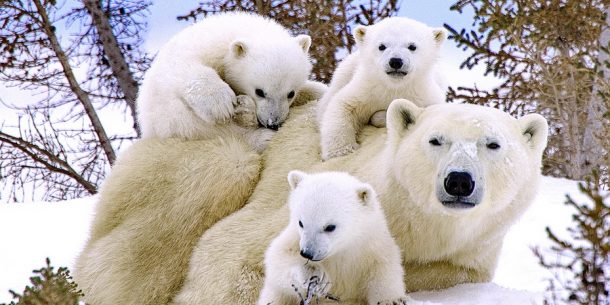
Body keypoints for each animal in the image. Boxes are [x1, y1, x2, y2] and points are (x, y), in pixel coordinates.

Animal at [133, 12, 324, 152]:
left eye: (290, 93)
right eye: (260, 91)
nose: (273, 123)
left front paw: (317, 90)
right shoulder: (197, 49)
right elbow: (185, 66)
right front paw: (220, 104)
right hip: (174, 121)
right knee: (212, 130)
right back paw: (261, 135)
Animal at [256, 171, 408, 304]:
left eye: (330, 227)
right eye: (301, 222)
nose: (307, 253)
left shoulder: (372, 246)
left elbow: (384, 268)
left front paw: (392, 301)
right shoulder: (293, 237)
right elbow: (277, 258)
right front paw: (314, 275)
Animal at [318, 16, 446, 160]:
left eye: (412, 46)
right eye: (381, 46)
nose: (396, 61)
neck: (394, 87)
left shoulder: (424, 95)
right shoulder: (366, 89)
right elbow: (344, 106)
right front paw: (341, 150)